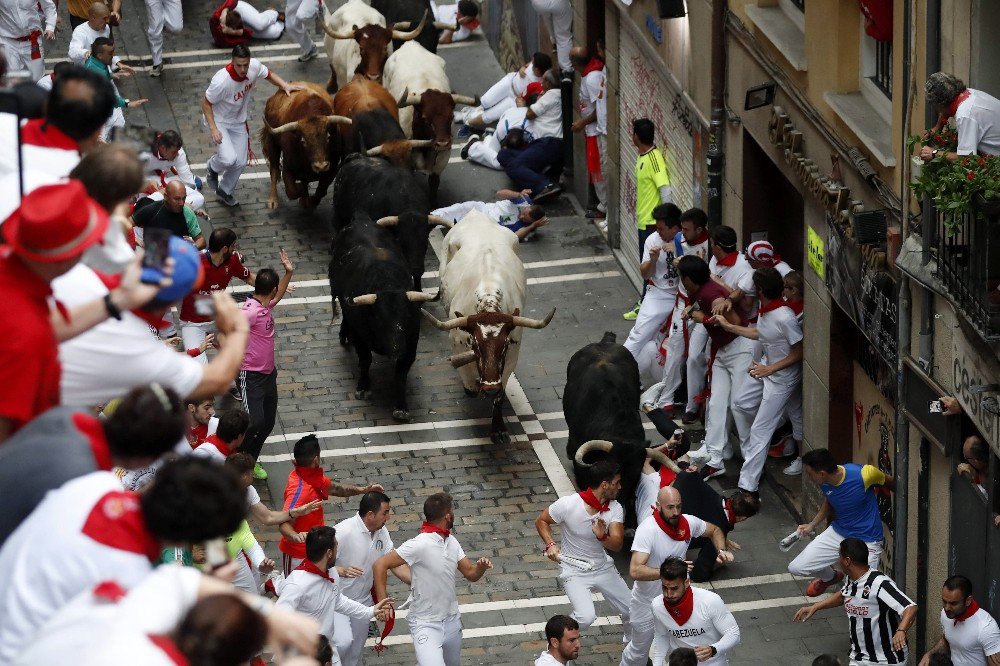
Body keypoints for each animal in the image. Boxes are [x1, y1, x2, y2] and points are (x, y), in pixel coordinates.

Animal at [418, 210, 552, 444]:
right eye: (476, 345)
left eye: (504, 345)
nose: (489, 387)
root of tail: (475, 214)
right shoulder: (458, 345)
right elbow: (469, 383)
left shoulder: (511, 357)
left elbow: (499, 395)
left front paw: (497, 427)